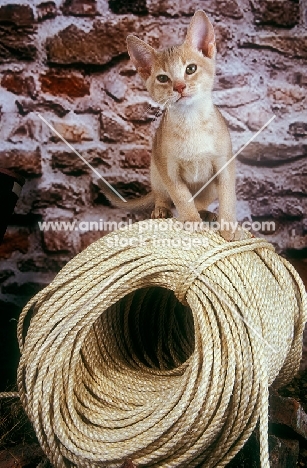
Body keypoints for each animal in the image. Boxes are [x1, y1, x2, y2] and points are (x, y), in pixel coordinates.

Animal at [101, 10, 241, 241]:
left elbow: (228, 199)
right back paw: (162, 209)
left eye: (190, 69)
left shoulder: (224, 166)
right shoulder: (169, 171)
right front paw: (192, 221)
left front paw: (228, 228)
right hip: (155, 170)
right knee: (163, 196)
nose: (180, 86)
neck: (191, 121)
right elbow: (182, 198)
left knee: (201, 201)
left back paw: (206, 213)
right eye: (163, 78)